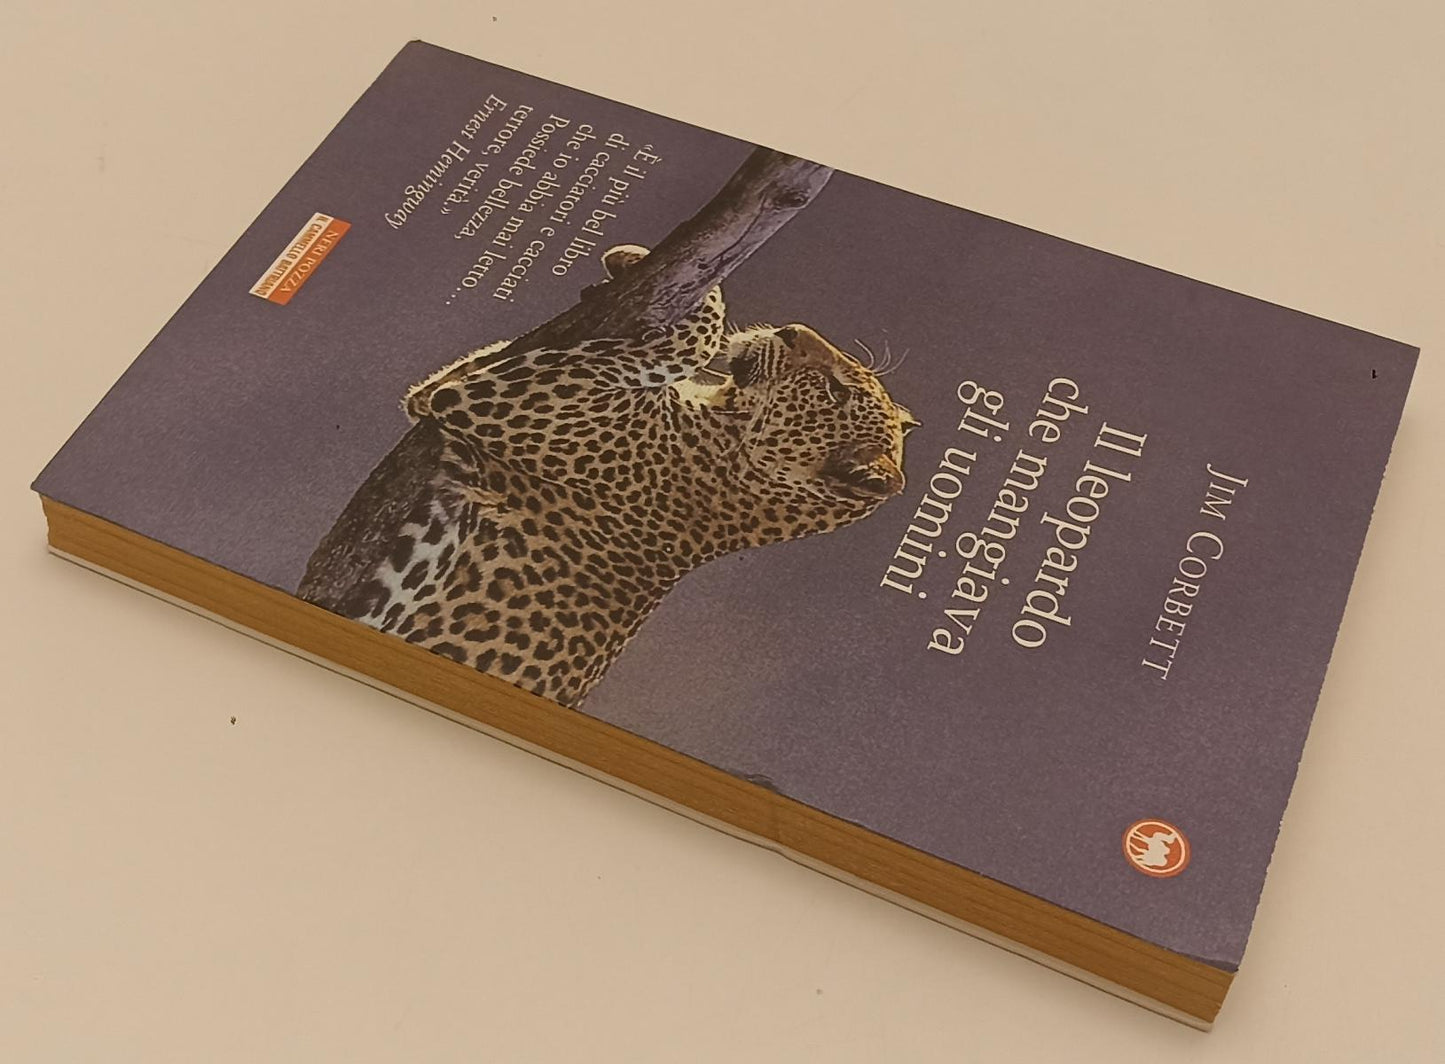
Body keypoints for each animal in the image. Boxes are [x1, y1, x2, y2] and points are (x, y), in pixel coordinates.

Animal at [300, 244, 918, 708]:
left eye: (836, 388)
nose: (792, 329)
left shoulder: (507, 399)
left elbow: (697, 336)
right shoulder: (451, 394)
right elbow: (428, 392)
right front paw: (625, 265)